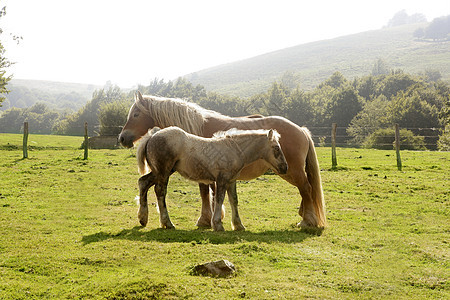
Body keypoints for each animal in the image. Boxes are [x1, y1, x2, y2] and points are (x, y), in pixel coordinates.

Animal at [135, 125, 288, 231]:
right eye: (276, 148)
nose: (285, 168)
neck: (234, 149)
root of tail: (151, 136)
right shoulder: (222, 179)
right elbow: (219, 199)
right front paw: (218, 225)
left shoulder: (231, 180)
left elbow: (234, 200)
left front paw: (238, 225)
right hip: (164, 171)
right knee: (160, 191)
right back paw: (167, 223)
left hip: (161, 171)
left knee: (143, 182)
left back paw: (143, 218)